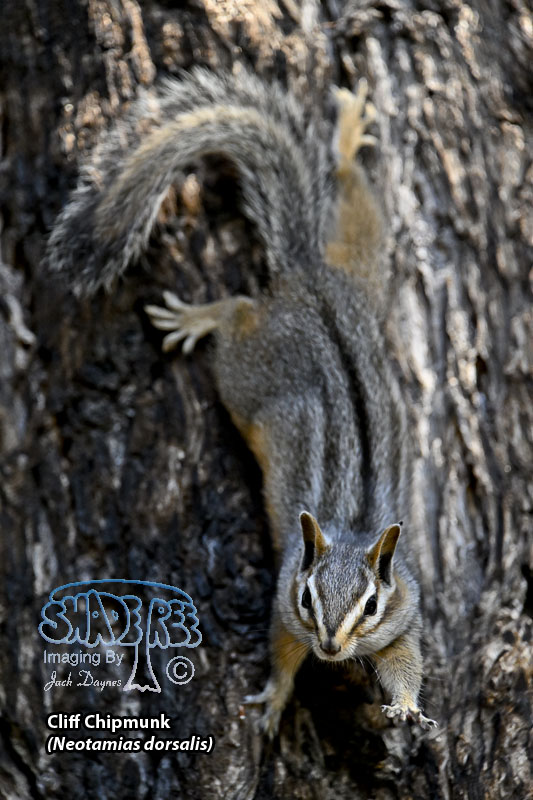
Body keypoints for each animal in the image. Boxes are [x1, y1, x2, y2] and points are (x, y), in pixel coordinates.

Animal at [45, 67, 437, 736]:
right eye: (307, 596)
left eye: (372, 603)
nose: (330, 647)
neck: (352, 531)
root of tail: (308, 282)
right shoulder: (282, 604)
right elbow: (281, 652)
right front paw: (276, 698)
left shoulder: (404, 611)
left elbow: (405, 659)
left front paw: (408, 705)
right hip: (246, 373)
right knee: (237, 312)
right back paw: (200, 315)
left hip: (359, 274)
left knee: (357, 213)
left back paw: (346, 140)